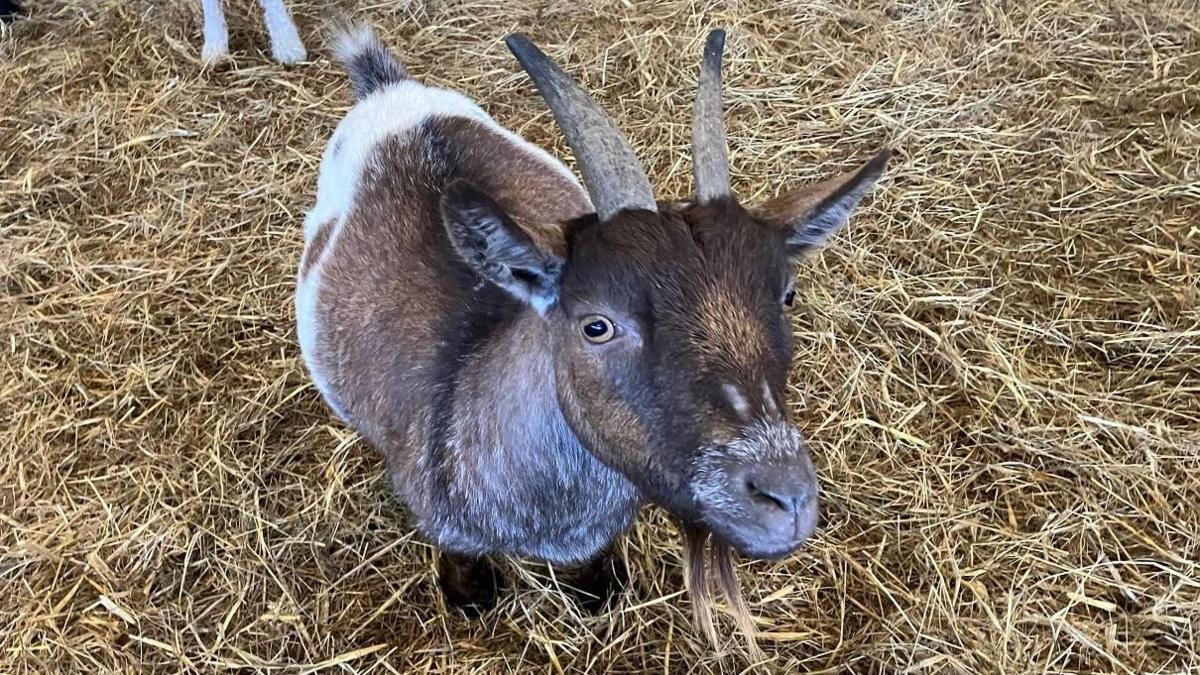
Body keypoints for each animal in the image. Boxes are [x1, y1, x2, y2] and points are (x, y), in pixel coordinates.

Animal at [296, 23, 888, 630]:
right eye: (596, 326)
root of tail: (390, 92)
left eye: (788, 294)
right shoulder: (445, 527)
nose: (785, 500)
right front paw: (467, 596)